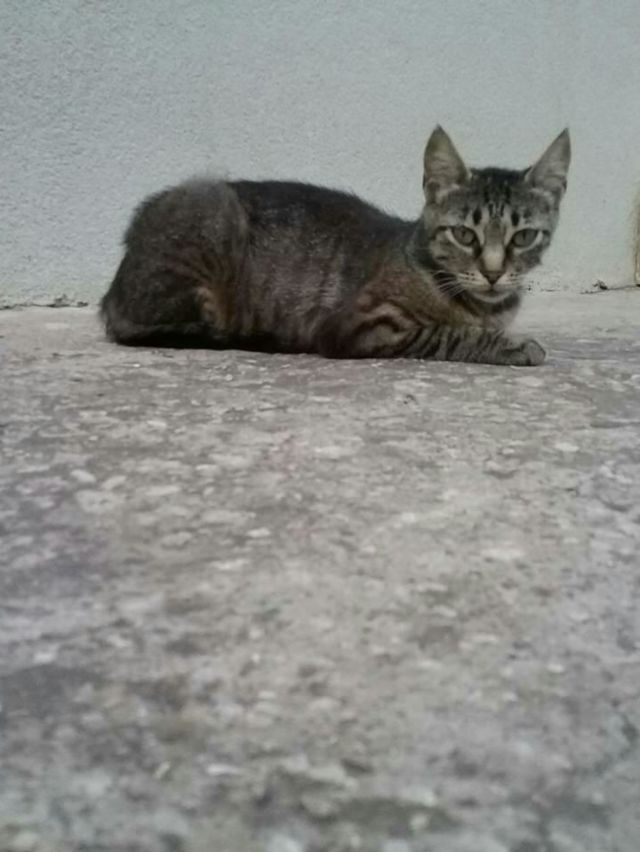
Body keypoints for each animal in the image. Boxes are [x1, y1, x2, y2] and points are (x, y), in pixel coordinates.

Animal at [101, 126, 570, 366]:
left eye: (523, 236)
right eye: (465, 235)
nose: (493, 272)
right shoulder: (363, 325)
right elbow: (449, 333)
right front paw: (512, 346)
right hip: (213, 213)